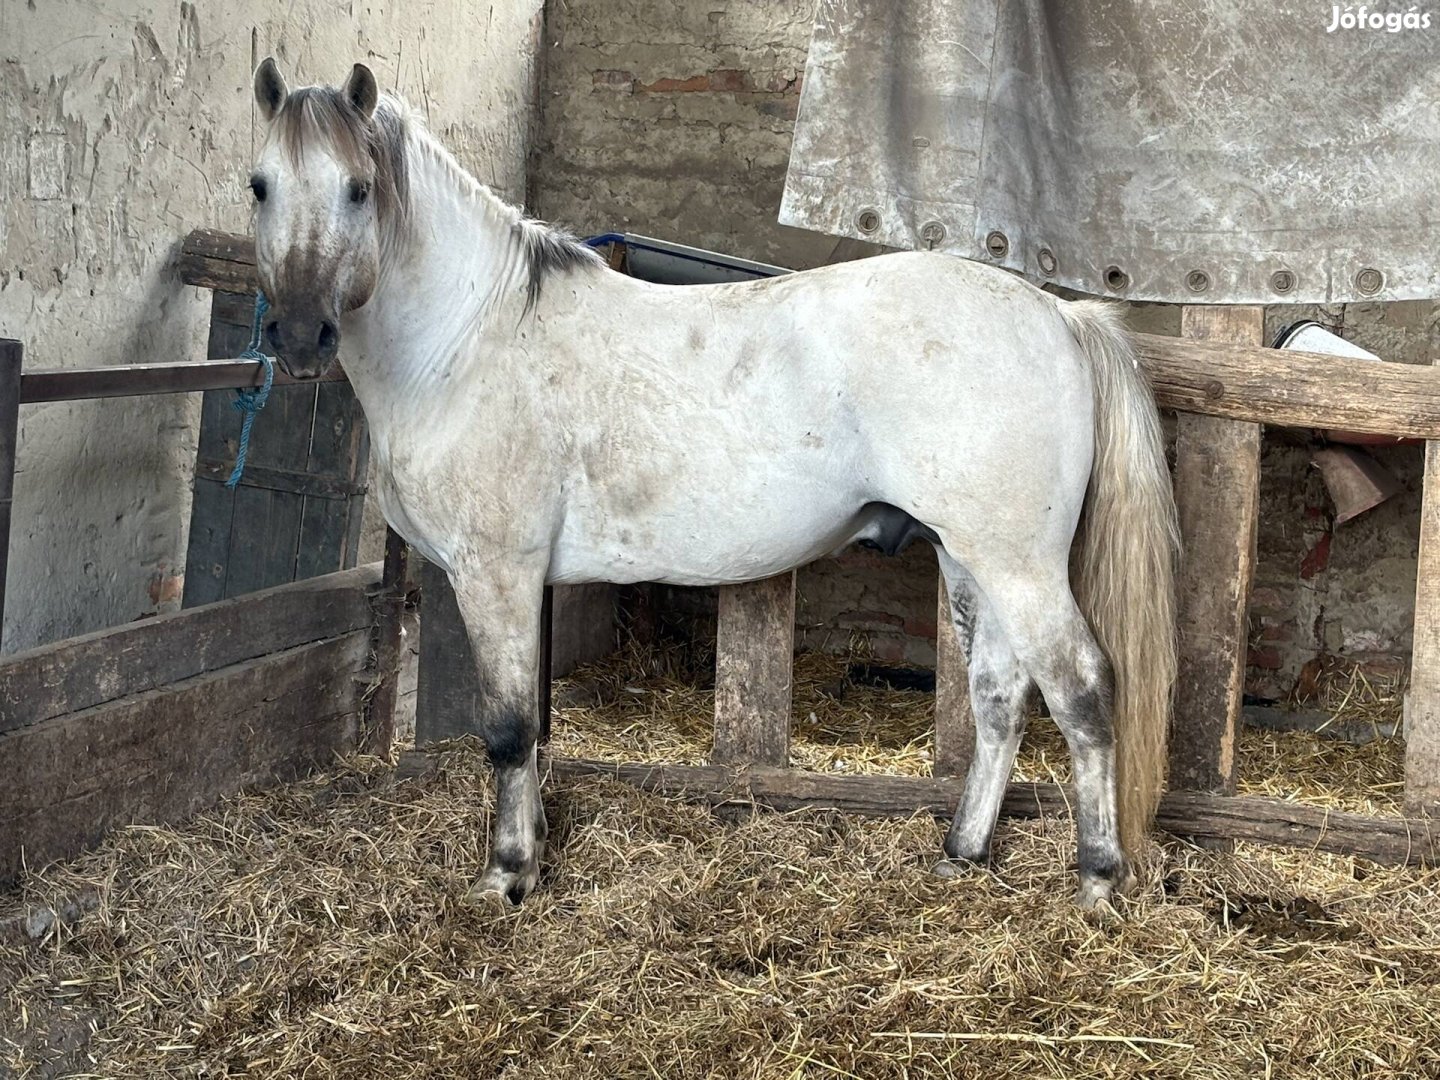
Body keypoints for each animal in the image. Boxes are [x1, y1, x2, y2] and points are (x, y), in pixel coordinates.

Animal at [247, 63, 1175, 915]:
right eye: (260, 185)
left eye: (359, 188)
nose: (298, 336)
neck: (470, 340)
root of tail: (1060, 316)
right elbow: (532, 732)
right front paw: (533, 848)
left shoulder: (496, 575)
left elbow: (508, 731)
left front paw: (508, 875)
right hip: (971, 559)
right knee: (998, 696)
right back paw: (963, 853)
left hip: (1019, 563)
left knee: (1082, 690)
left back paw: (1098, 881)